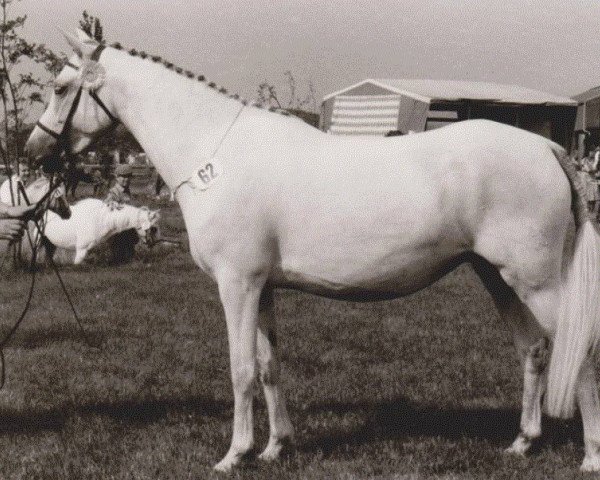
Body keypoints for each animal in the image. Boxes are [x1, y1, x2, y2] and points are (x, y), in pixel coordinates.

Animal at [25, 30, 600, 472]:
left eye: (60, 87)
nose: (33, 151)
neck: (216, 154)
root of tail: (547, 148)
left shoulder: (237, 285)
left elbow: (241, 370)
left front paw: (234, 455)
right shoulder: (262, 288)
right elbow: (269, 365)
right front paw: (275, 448)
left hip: (536, 282)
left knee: (581, 351)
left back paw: (590, 457)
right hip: (496, 276)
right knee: (534, 349)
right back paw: (522, 442)